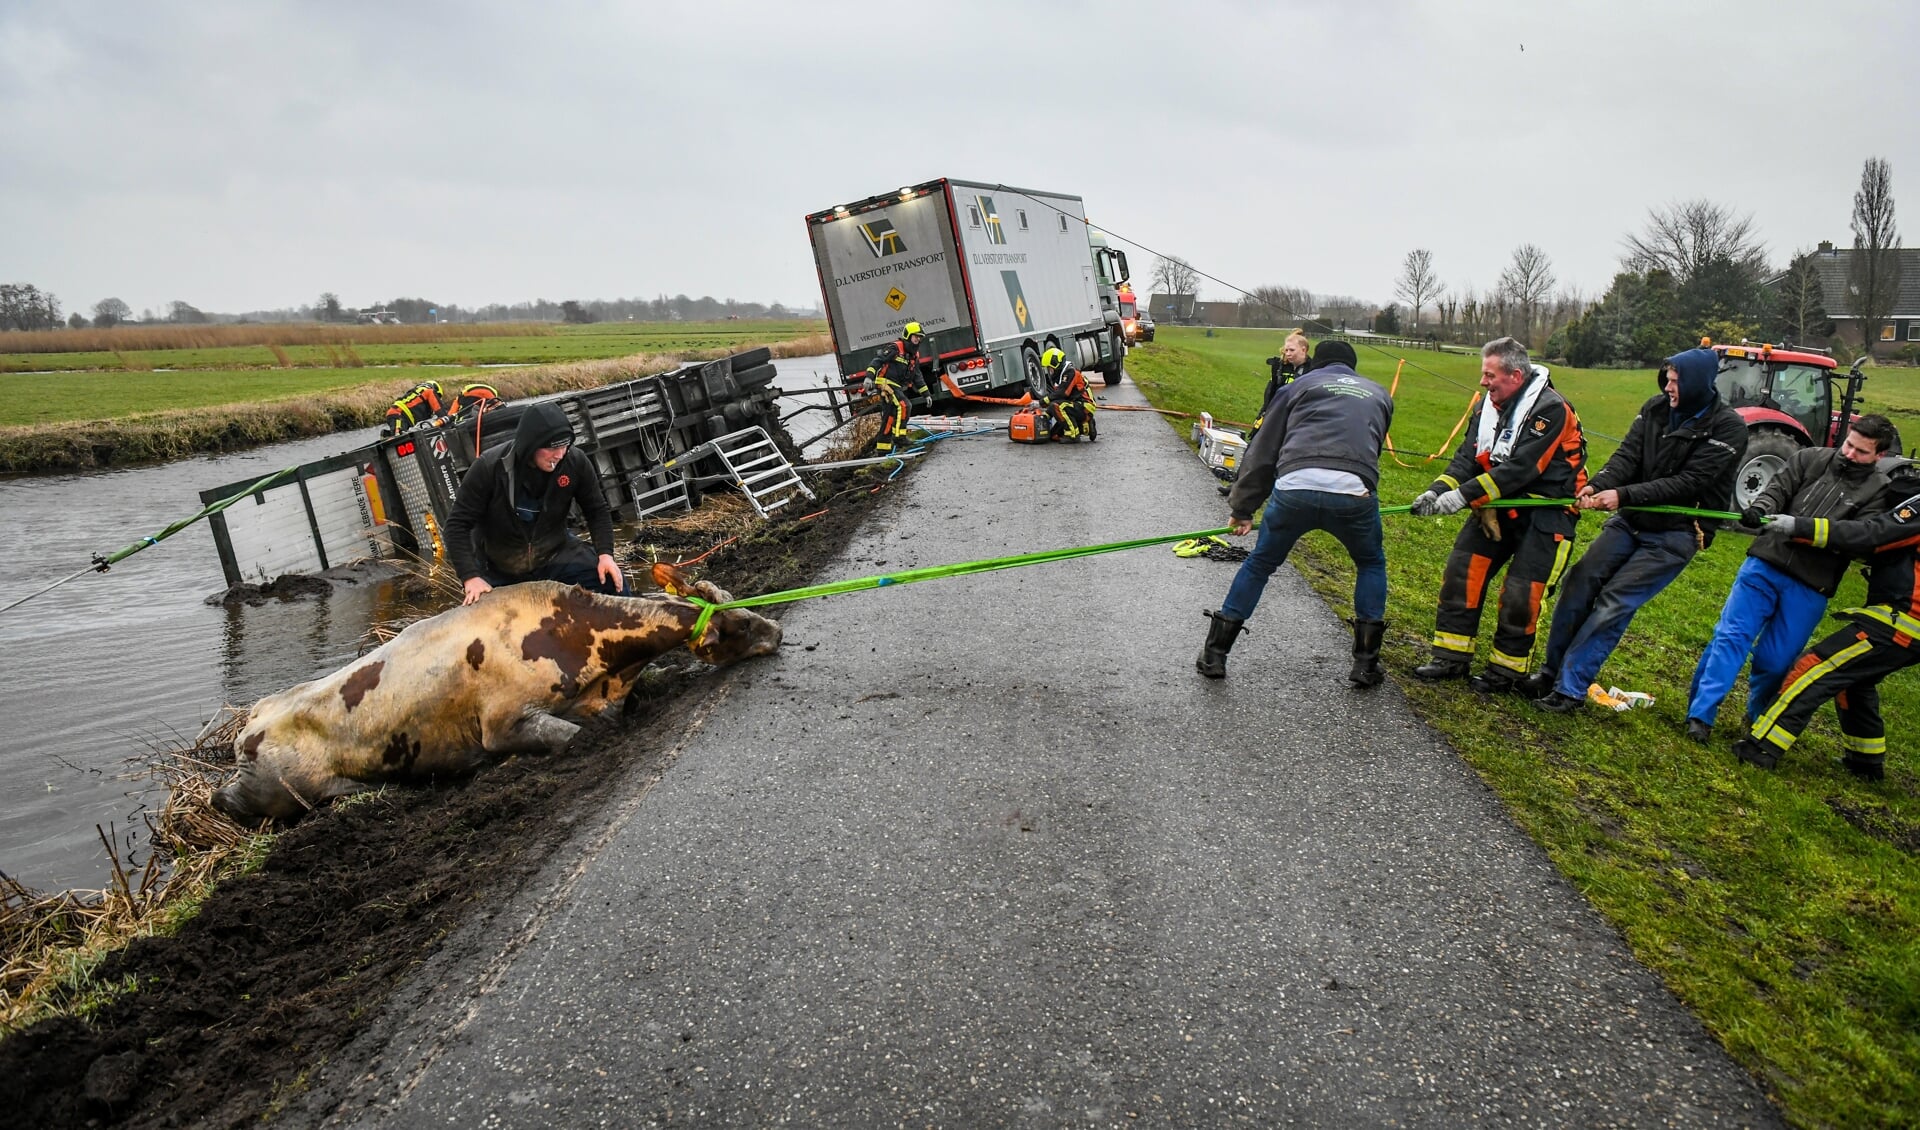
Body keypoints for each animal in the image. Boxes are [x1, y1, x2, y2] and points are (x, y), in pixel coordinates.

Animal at [212, 575, 779, 813]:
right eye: (737, 625)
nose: (776, 631)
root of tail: (248, 725)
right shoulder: (504, 724)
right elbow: (573, 738)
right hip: (274, 787)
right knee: (231, 803)